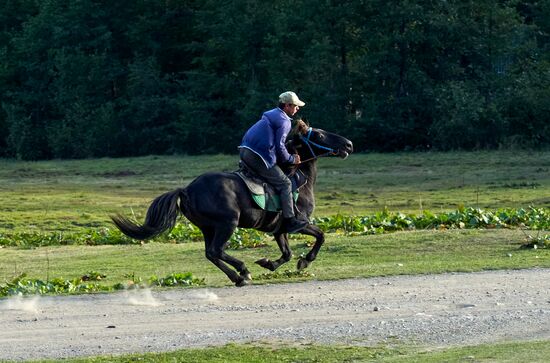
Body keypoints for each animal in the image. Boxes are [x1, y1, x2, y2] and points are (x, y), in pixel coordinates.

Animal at [111, 122, 354, 288]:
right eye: (320, 134)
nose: (349, 144)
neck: (298, 176)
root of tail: (187, 189)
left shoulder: (279, 230)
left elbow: (286, 254)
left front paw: (268, 263)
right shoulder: (299, 223)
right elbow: (320, 236)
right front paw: (305, 261)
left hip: (208, 227)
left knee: (210, 253)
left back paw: (237, 277)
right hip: (227, 223)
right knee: (217, 250)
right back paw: (243, 271)